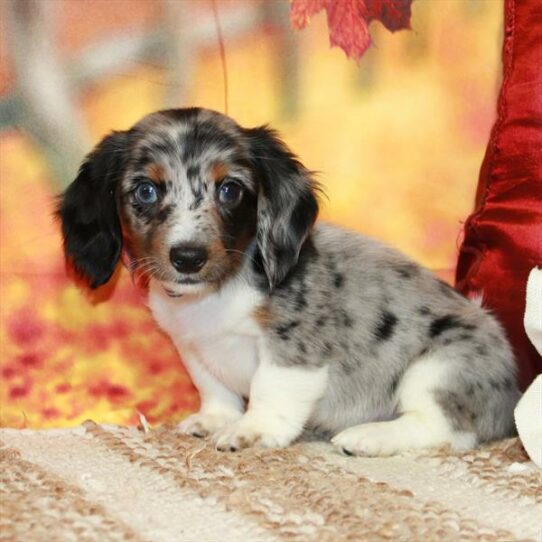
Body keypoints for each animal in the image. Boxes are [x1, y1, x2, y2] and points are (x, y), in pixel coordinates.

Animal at [57, 108, 520, 456]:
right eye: (145, 191)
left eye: (230, 190)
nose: (188, 258)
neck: (217, 294)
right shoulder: (193, 348)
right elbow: (215, 388)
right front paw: (215, 420)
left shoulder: (292, 346)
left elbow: (269, 390)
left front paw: (250, 430)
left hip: (438, 367)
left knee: (446, 430)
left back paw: (369, 437)